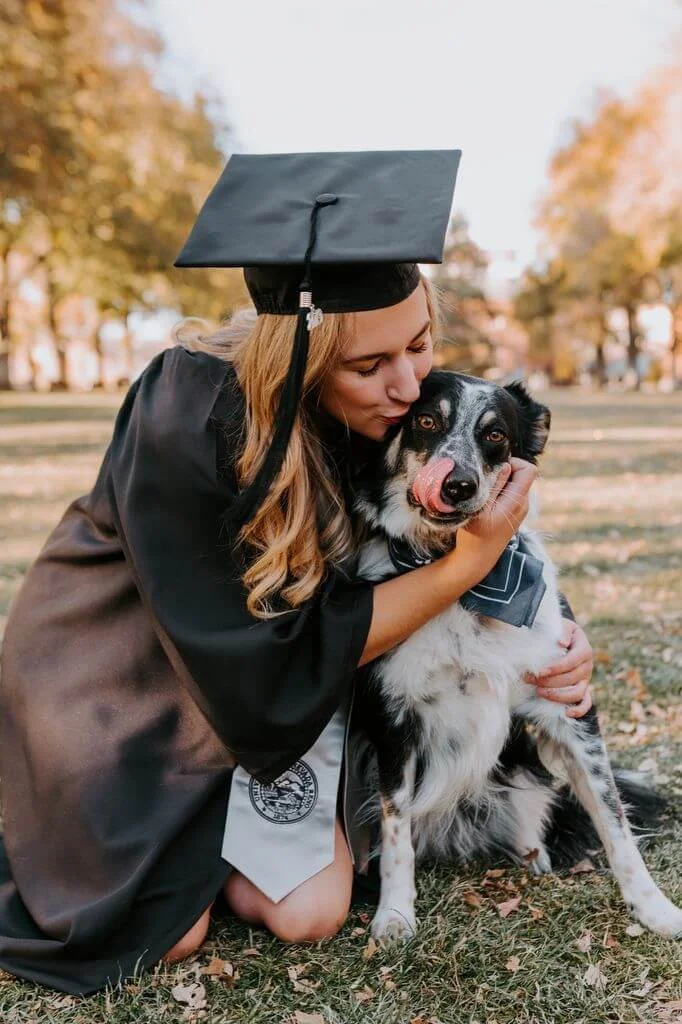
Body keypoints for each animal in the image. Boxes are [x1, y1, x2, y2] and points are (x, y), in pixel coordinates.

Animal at [348, 372, 675, 937]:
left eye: (495, 435)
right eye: (425, 420)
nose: (458, 485)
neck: (464, 586)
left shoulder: (569, 706)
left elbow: (614, 820)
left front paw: (654, 909)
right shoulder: (395, 719)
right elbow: (395, 827)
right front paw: (395, 913)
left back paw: (533, 853)